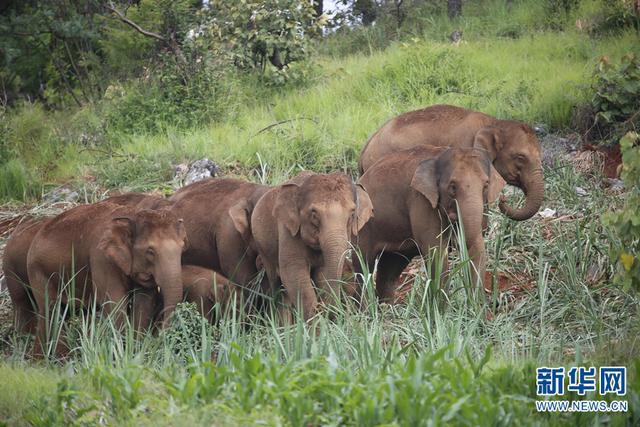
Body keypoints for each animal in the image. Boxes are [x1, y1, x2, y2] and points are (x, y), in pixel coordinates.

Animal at [27, 202, 188, 356]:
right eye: (150, 251)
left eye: (182, 248)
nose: (160, 336)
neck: (131, 214)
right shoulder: (101, 258)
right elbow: (115, 304)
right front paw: (121, 353)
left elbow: (143, 303)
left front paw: (136, 350)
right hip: (37, 272)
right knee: (51, 309)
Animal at [251, 171, 376, 320]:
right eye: (314, 214)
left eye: (352, 213)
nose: (325, 309)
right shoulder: (288, 231)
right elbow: (293, 274)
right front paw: (314, 322)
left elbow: (323, 274)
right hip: (263, 248)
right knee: (278, 285)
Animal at [356, 145, 504, 300]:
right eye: (452, 186)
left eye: (486, 185)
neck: (438, 155)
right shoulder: (421, 202)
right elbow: (437, 253)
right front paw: (442, 305)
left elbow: (477, 249)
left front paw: (476, 304)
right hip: (363, 227)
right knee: (363, 266)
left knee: (390, 268)